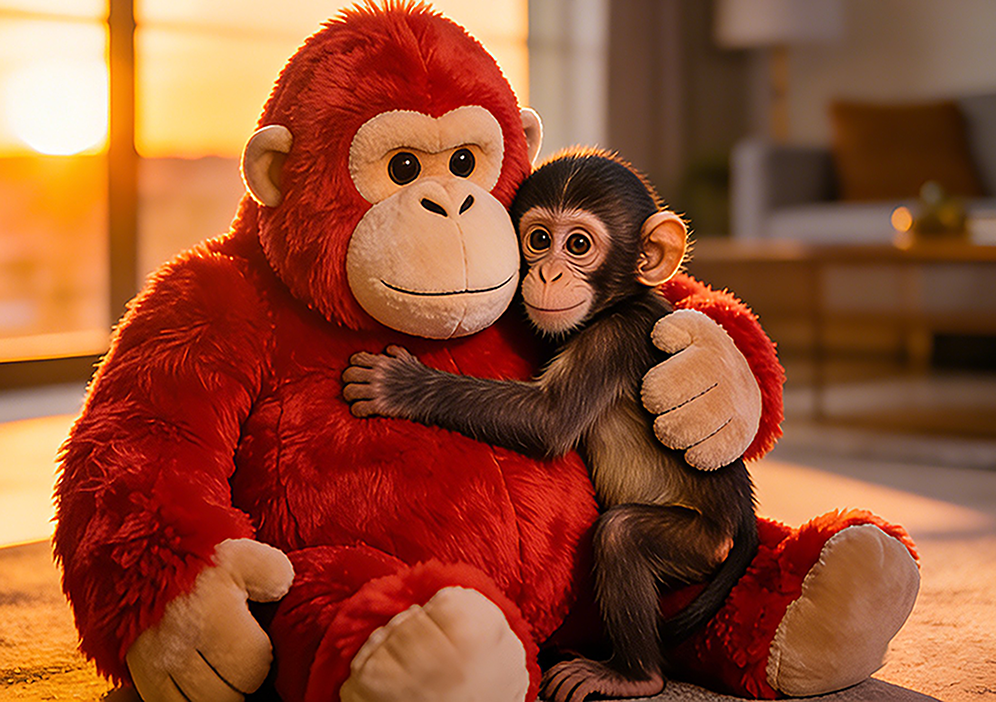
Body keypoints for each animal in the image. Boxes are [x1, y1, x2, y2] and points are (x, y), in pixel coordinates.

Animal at [341, 148, 758, 702]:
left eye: (578, 245)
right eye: (539, 240)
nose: (549, 276)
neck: (615, 304)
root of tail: (739, 517)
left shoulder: (611, 340)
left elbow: (549, 419)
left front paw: (401, 385)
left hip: (699, 545)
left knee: (621, 535)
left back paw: (631, 674)